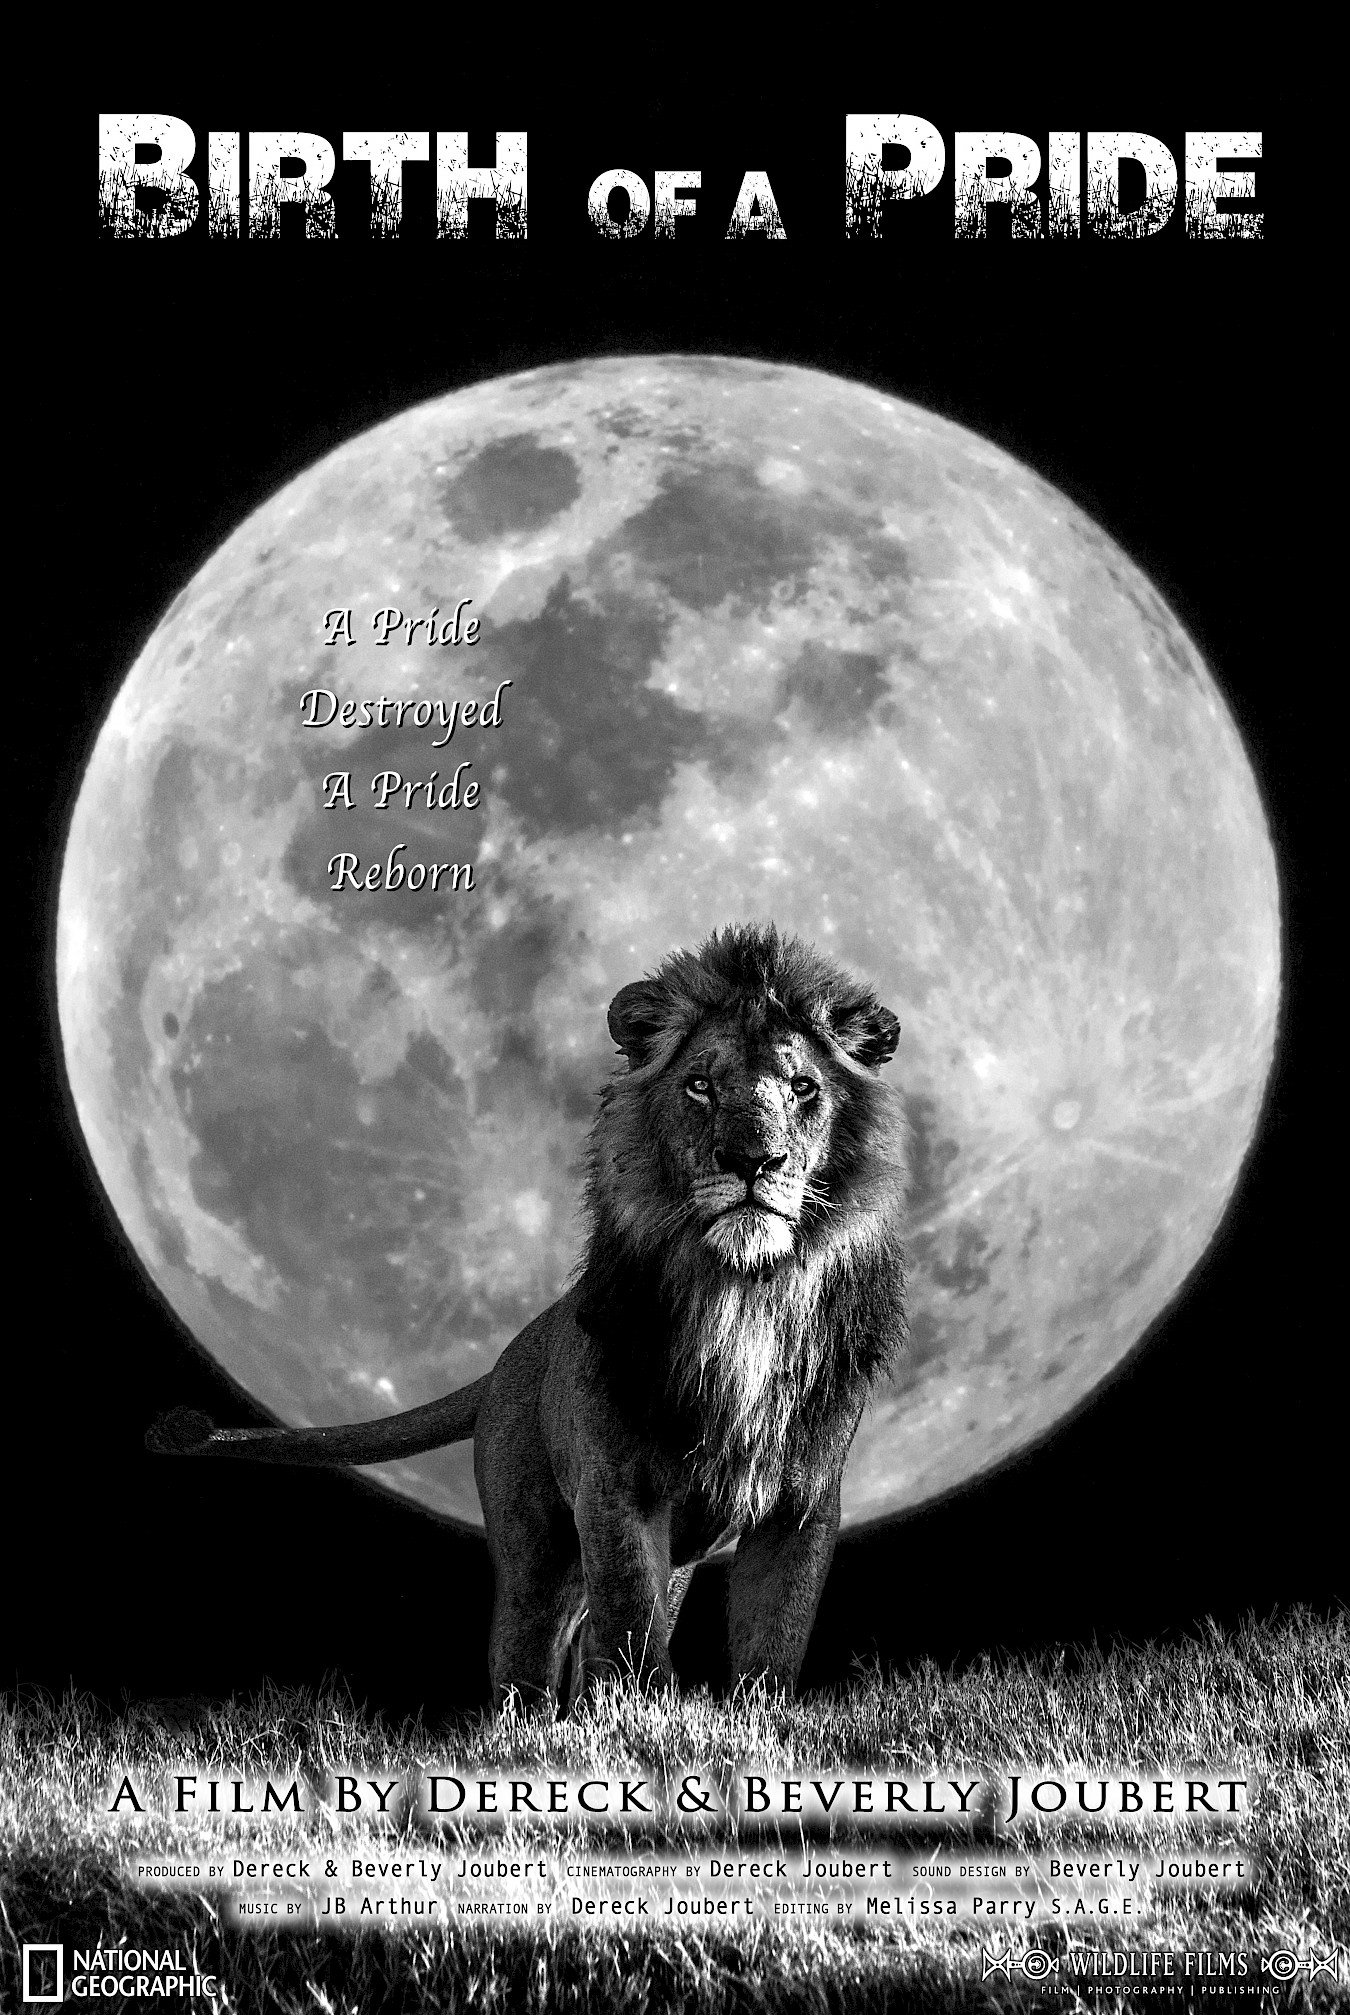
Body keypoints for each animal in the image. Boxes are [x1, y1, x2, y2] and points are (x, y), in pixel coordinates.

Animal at [150, 923, 908, 1705]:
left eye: (803, 1088)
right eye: (700, 1085)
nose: (754, 1160)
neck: (745, 1293)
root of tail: (515, 1348)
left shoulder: (801, 1502)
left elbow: (769, 1645)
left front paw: (742, 1718)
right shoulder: (615, 1487)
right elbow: (631, 1629)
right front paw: (650, 1717)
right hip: (539, 1552)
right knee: (528, 1657)